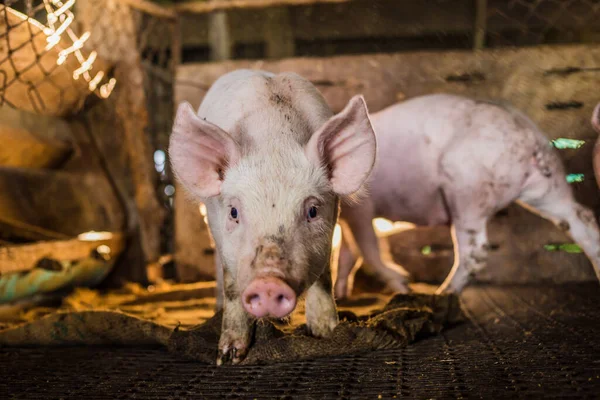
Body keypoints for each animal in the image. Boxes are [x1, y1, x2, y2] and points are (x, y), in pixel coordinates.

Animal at [169, 70, 376, 364]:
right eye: (234, 212)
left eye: (312, 211)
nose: (268, 283)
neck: (274, 141)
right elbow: (232, 286)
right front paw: (228, 357)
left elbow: (324, 278)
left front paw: (325, 334)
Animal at [336, 94, 600, 298]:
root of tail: (526, 136)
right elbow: (348, 252)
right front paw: (341, 294)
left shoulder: (361, 208)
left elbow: (368, 248)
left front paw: (404, 284)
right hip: (549, 186)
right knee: (580, 218)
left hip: (468, 190)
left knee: (476, 251)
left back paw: (442, 293)